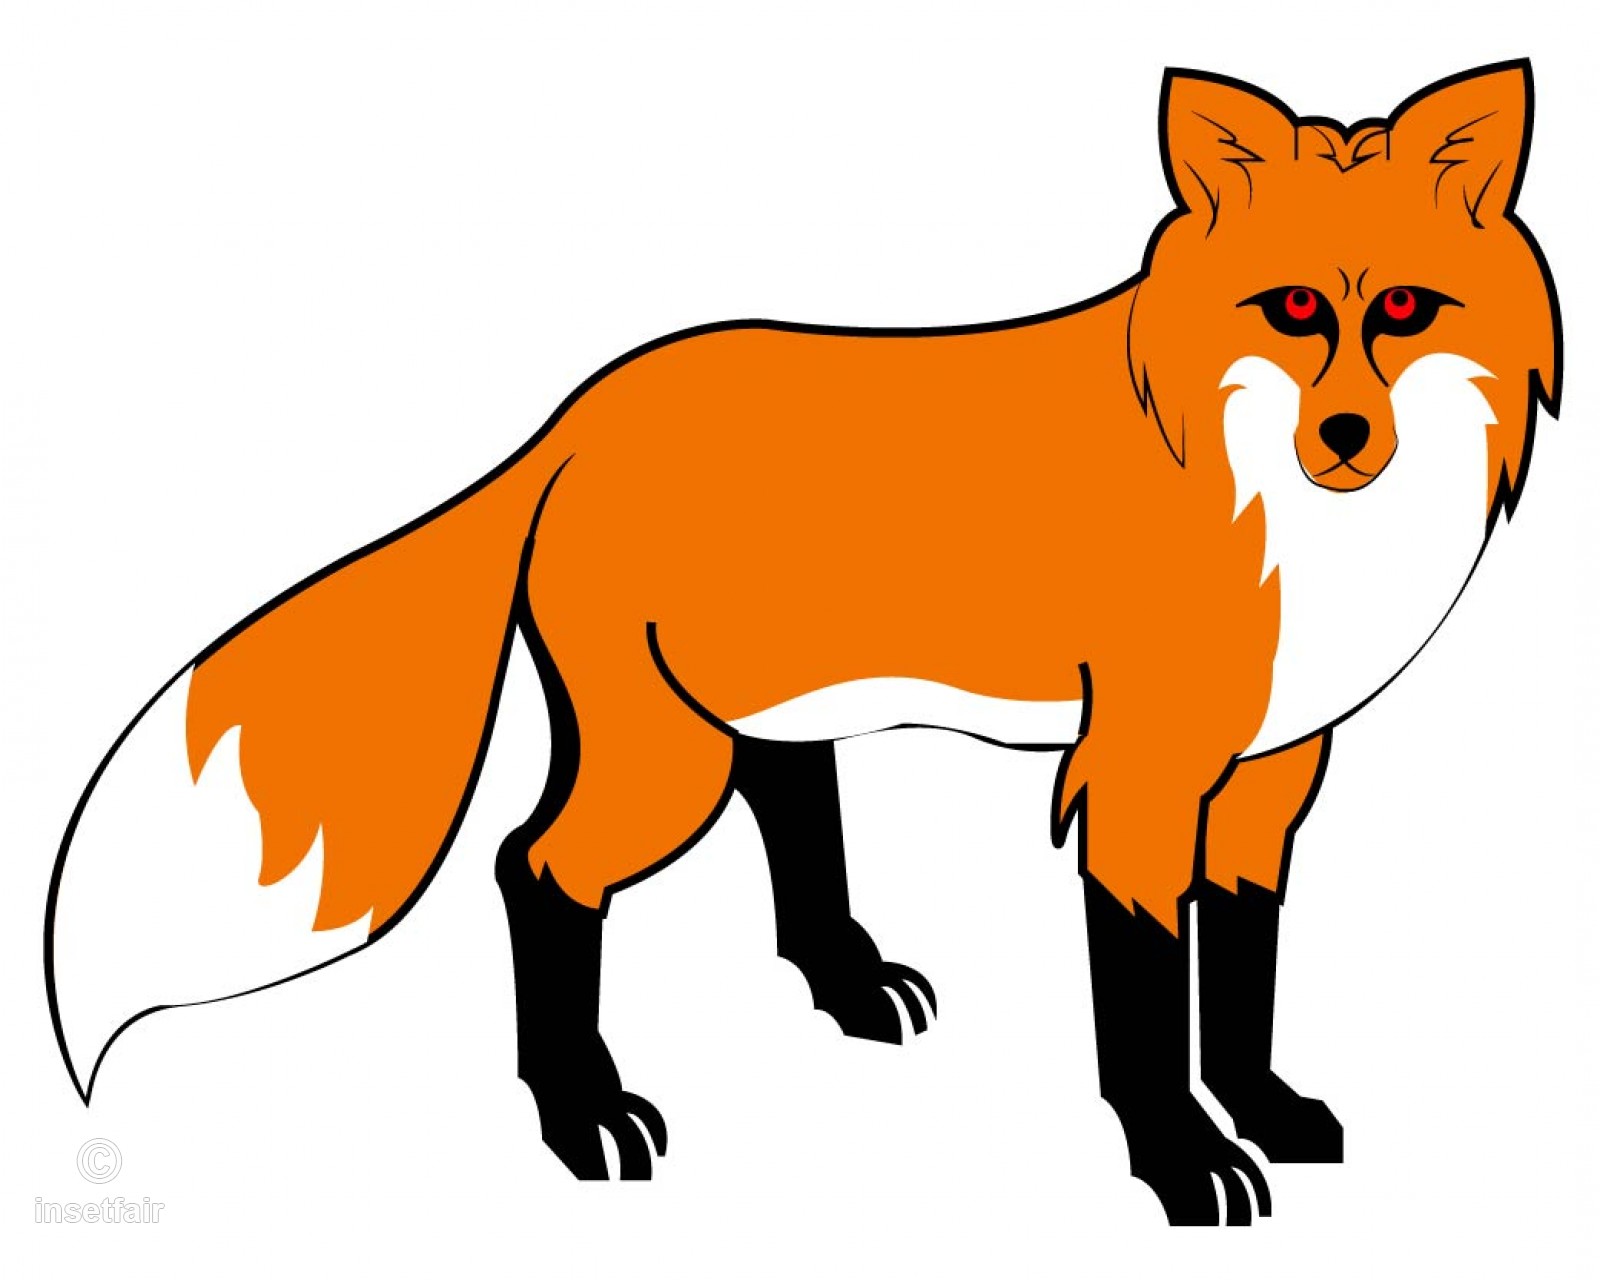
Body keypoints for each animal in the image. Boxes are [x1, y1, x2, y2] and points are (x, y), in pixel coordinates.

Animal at [45, 60, 1561, 1226]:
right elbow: (1146, 1007)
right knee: (535, 866)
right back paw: (582, 1115)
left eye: (1406, 309)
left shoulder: (1269, 773)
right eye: (1292, 310)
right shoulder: (1138, 774)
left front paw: (1267, 1109)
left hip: (753, 713)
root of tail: (570, 419)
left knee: (790, 806)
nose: (1346, 439)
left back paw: (846, 977)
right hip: (663, 762)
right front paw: (1183, 1163)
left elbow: (1244, 973)